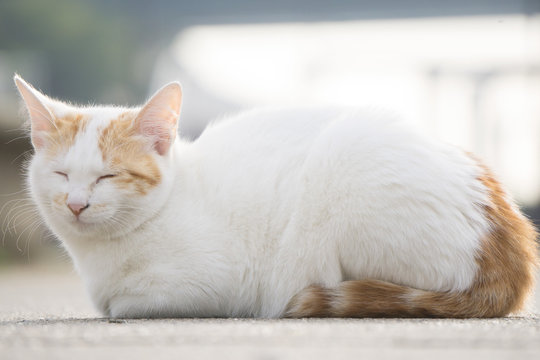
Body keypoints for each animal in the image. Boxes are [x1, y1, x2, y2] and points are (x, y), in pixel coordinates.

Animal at [14, 74, 536, 318]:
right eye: (61, 175)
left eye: (108, 177)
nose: (76, 203)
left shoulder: (216, 283)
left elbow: (124, 305)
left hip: (342, 164)